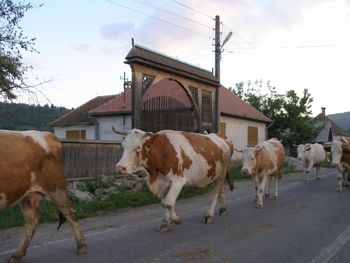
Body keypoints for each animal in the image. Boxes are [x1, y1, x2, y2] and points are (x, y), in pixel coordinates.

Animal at [0, 130, 87, 263]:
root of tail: (48, 134)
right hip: (26, 194)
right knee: (32, 220)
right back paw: (18, 254)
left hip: (56, 186)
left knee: (69, 211)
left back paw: (81, 245)